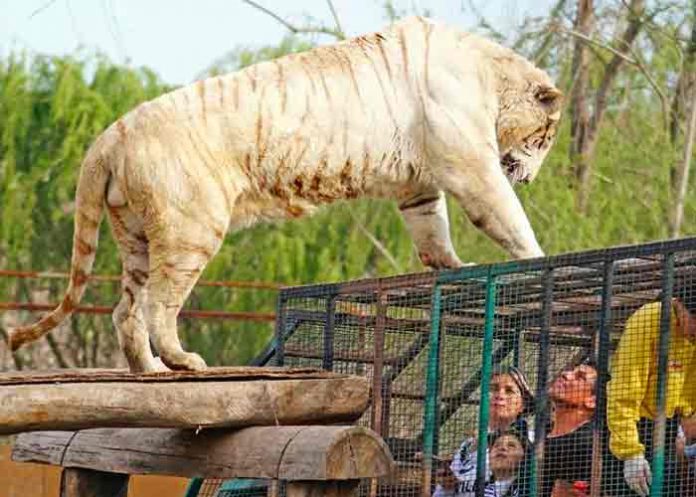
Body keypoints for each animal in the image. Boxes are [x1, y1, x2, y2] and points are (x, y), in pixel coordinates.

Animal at [8, 16, 562, 372]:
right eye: (546, 137)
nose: (531, 178)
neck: (490, 75)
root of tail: (109, 135)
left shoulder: (418, 184)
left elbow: (432, 230)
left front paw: (453, 266)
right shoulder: (470, 166)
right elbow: (507, 217)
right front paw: (539, 257)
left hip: (134, 235)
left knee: (125, 311)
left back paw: (151, 372)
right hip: (191, 230)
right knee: (158, 305)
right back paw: (183, 361)